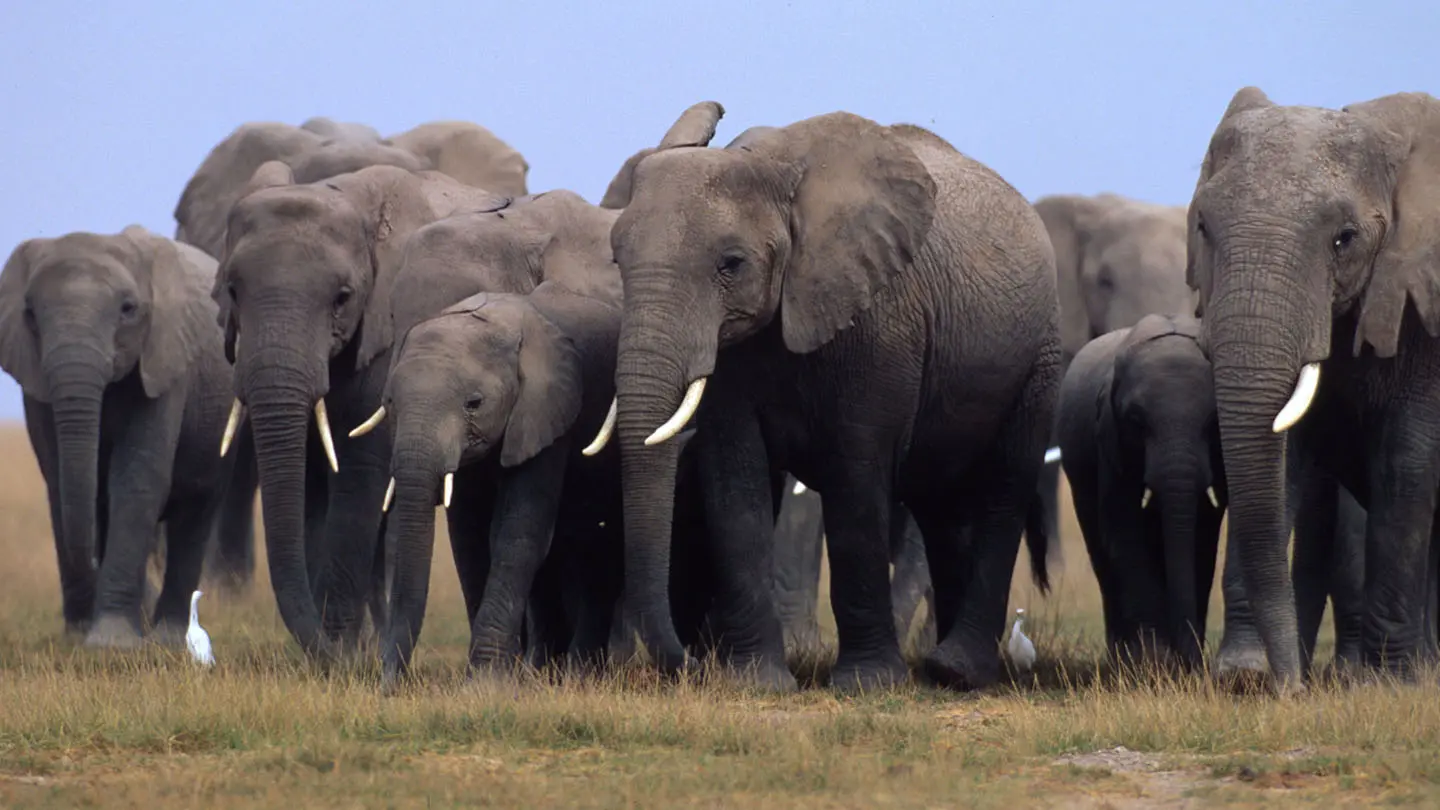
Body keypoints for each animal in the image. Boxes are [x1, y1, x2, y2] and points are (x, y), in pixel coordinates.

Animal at [0, 226, 253, 645]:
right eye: (31, 314)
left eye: (128, 309)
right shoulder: (35, 381)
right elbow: (58, 481)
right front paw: (78, 639)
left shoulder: (163, 363)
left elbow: (137, 479)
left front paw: (110, 644)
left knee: (196, 509)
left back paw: (166, 637)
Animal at [213, 161, 512, 657]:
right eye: (233, 291)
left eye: (342, 297)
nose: (324, 651)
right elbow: (313, 483)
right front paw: (340, 652)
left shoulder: (390, 335)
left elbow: (358, 477)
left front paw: (340, 654)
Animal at [584, 102, 1060, 692]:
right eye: (617, 261)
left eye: (731, 264)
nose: (691, 664)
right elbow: (734, 483)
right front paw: (756, 683)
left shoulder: (881, 321)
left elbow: (855, 478)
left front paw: (867, 685)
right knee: (942, 507)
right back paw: (943, 670)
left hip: (1040, 358)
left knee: (1002, 489)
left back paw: (957, 672)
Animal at [1056, 313, 1226, 669]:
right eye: (1136, 421)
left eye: (1212, 422)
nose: (1189, 662)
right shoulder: (1109, 444)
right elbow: (1124, 531)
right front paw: (1154, 664)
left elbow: (1203, 537)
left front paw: (1180, 662)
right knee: (1102, 554)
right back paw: (1122, 658)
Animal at [1186, 87, 1440, 692]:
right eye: (1203, 227)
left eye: (1344, 239)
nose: (1292, 687)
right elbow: (1280, 462)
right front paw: (1245, 676)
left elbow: (1407, 463)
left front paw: (1388, 688)